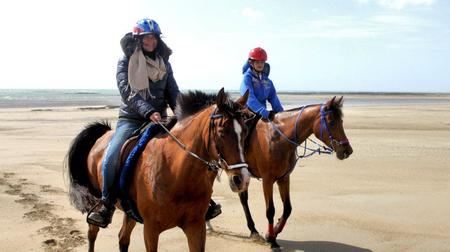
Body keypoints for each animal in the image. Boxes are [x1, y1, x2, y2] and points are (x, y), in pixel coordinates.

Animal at [66, 89, 253, 252]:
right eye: (221, 132)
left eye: (245, 131)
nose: (241, 179)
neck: (176, 174)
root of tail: (102, 136)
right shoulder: (151, 230)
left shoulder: (195, 226)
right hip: (96, 204)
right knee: (92, 234)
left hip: (129, 212)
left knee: (122, 238)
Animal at [241, 96, 354, 248]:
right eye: (331, 122)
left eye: (341, 121)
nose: (347, 150)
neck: (278, 138)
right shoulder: (267, 180)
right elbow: (270, 210)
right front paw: (272, 239)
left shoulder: (284, 178)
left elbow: (287, 209)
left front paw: (273, 232)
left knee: (243, 198)